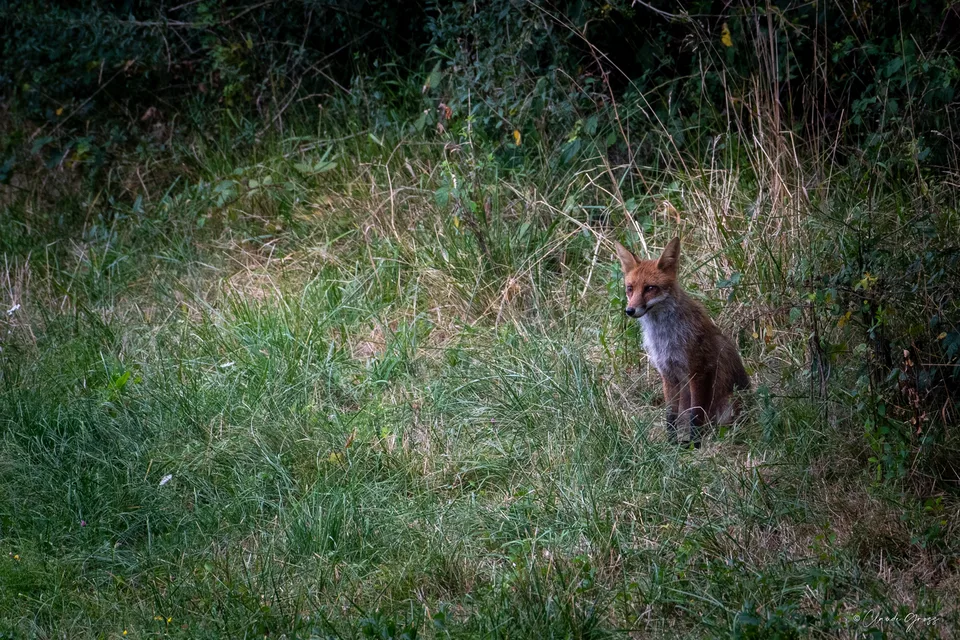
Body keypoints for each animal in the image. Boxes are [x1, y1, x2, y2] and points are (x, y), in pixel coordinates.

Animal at [615, 237, 750, 445]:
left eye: (650, 288)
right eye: (630, 289)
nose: (629, 311)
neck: (664, 337)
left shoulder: (698, 371)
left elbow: (696, 414)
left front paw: (694, 444)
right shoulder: (667, 374)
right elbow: (670, 415)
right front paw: (671, 443)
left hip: (728, 405)